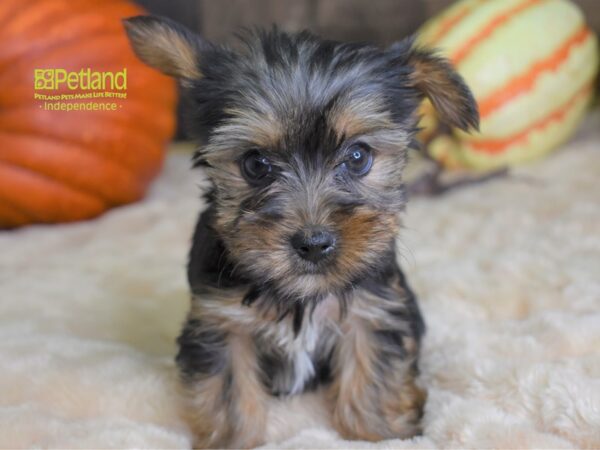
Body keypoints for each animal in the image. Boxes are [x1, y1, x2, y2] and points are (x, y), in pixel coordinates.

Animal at [125, 15, 478, 448]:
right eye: (255, 164)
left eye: (358, 157)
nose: (313, 244)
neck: (300, 295)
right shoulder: (220, 321)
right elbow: (230, 392)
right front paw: (235, 439)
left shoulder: (371, 309)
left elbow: (373, 376)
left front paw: (381, 433)